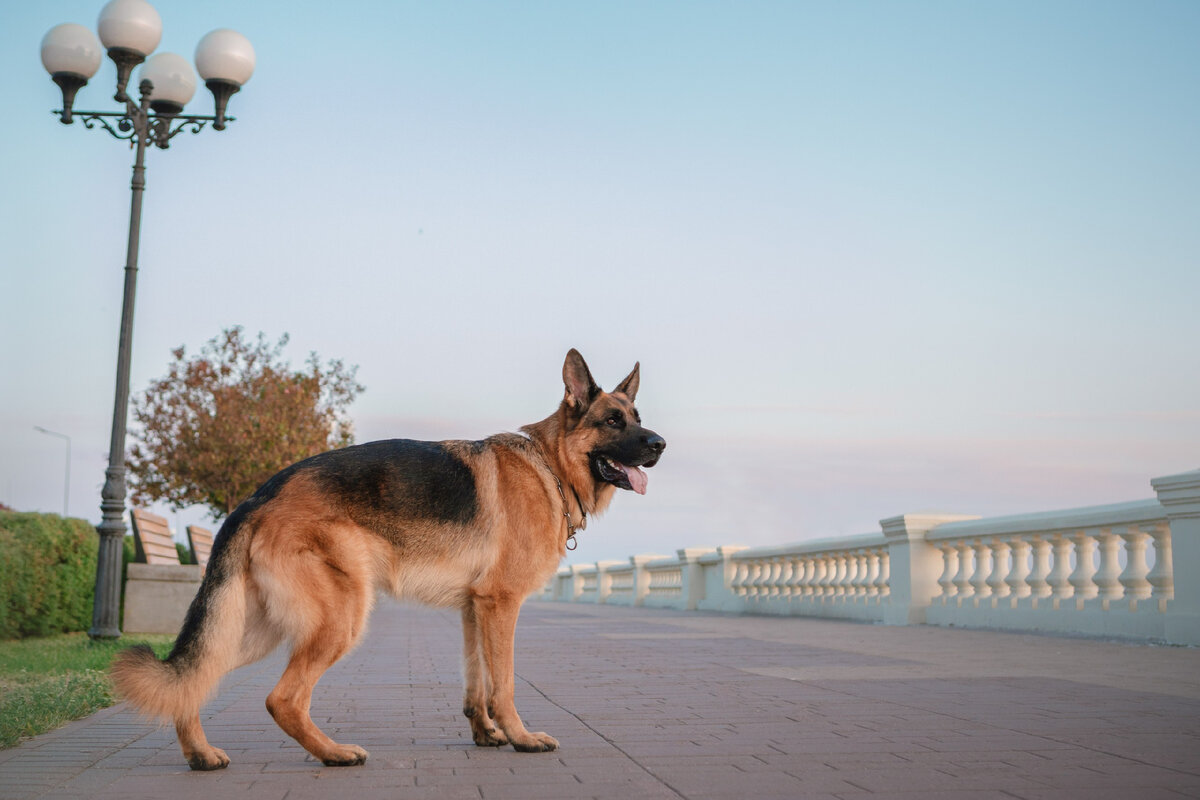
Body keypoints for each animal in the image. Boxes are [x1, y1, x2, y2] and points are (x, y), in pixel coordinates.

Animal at [112, 347, 667, 767]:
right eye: (612, 421)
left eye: (637, 419)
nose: (660, 444)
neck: (550, 466)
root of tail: (258, 496)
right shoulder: (501, 605)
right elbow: (504, 684)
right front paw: (521, 737)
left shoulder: (475, 610)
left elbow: (477, 683)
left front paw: (487, 734)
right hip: (340, 617)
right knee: (281, 699)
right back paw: (334, 754)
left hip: (255, 628)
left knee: (194, 679)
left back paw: (201, 754)